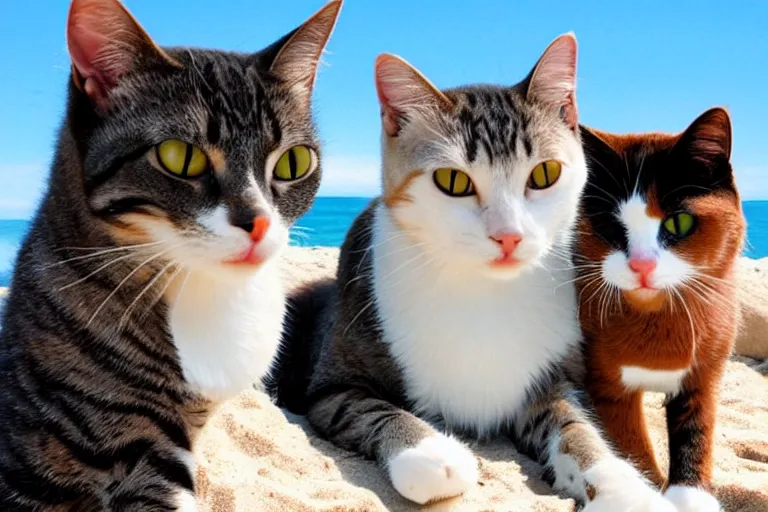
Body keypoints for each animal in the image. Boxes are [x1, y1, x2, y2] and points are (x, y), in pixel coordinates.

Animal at [268, 34, 676, 510]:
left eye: (546, 173)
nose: (509, 236)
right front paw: (430, 454)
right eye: (453, 181)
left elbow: (576, 425)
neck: (483, 290)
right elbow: (372, 409)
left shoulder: (553, 378)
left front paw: (621, 486)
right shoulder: (329, 388)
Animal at [576, 106, 744, 510]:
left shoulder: (706, 368)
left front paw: (692, 496)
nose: (641, 265)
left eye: (678, 221)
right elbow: (630, 444)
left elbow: (697, 431)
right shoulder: (606, 383)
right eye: (611, 225)